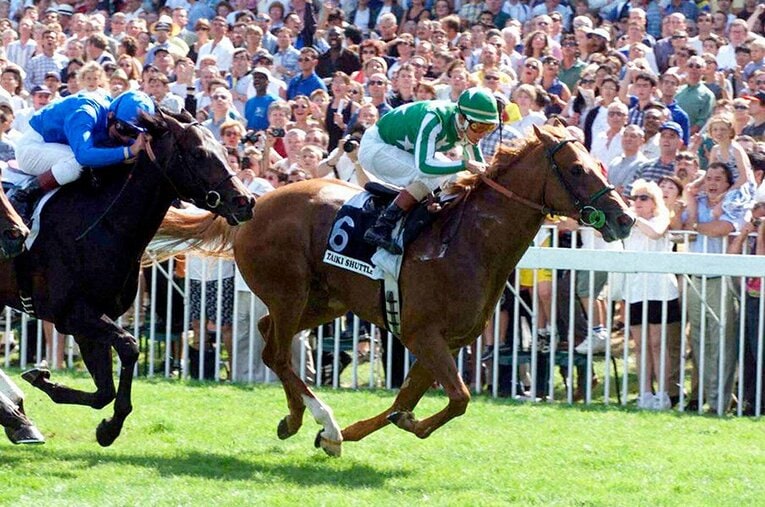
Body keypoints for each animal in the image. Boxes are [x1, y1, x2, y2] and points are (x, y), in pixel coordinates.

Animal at [8, 108, 254, 446]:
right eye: (198, 153)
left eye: (225, 150)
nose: (245, 201)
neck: (103, 223)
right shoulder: (72, 314)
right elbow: (129, 346)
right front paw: (111, 427)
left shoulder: (90, 319)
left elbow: (103, 392)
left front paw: (50, 386)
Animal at [159, 125, 634, 456]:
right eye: (577, 168)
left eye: (598, 164)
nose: (625, 218)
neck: (468, 242)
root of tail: (252, 205)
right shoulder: (423, 334)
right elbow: (456, 399)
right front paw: (380, 427)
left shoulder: (445, 341)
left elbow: (408, 399)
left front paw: (351, 434)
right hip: (290, 293)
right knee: (276, 352)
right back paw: (323, 419)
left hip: (325, 300)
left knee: (267, 336)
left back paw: (297, 420)